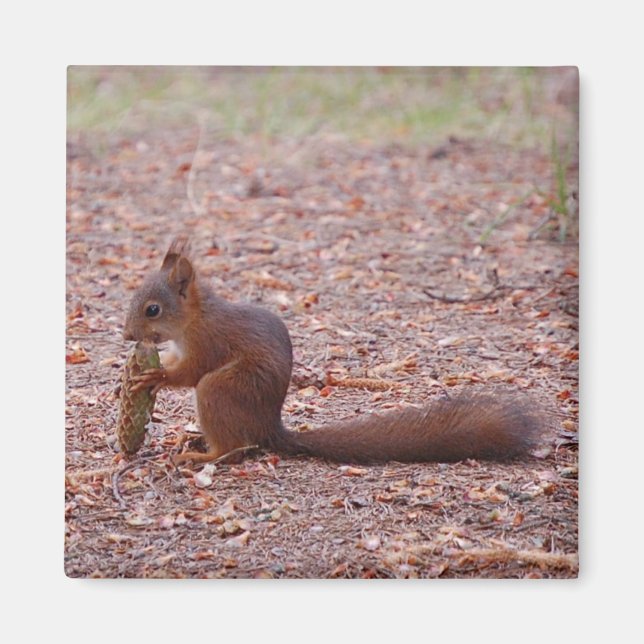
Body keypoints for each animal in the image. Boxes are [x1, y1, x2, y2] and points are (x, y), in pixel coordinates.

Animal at [123, 237, 542, 465]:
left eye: (152, 309)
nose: (128, 336)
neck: (193, 318)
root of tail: (270, 428)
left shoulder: (209, 343)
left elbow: (190, 371)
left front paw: (154, 376)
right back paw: (195, 440)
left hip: (221, 390)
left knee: (235, 447)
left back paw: (200, 455)